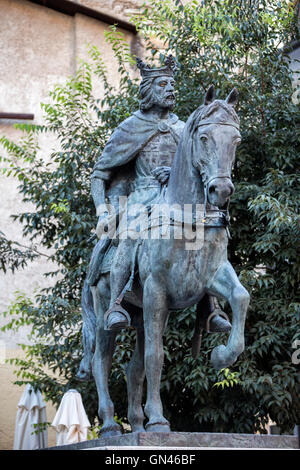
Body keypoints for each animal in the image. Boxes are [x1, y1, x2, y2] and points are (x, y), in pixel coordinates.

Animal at [77, 86, 248, 436]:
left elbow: (241, 296)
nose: (221, 190)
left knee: (133, 368)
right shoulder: (156, 291)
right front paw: (158, 420)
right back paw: (111, 425)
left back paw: (136, 425)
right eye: (204, 137)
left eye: (236, 139)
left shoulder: (213, 276)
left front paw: (222, 355)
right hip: (106, 312)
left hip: (141, 312)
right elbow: (157, 357)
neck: (187, 218)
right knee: (102, 362)